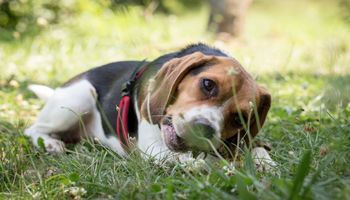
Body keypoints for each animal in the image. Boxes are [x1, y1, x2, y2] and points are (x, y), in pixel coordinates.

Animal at [26, 44, 274, 167]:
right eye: (208, 84)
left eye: (239, 118)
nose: (204, 129)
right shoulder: (154, 149)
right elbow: (201, 162)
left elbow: (256, 148)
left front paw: (264, 163)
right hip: (78, 99)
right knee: (32, 129)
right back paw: (51, 143)